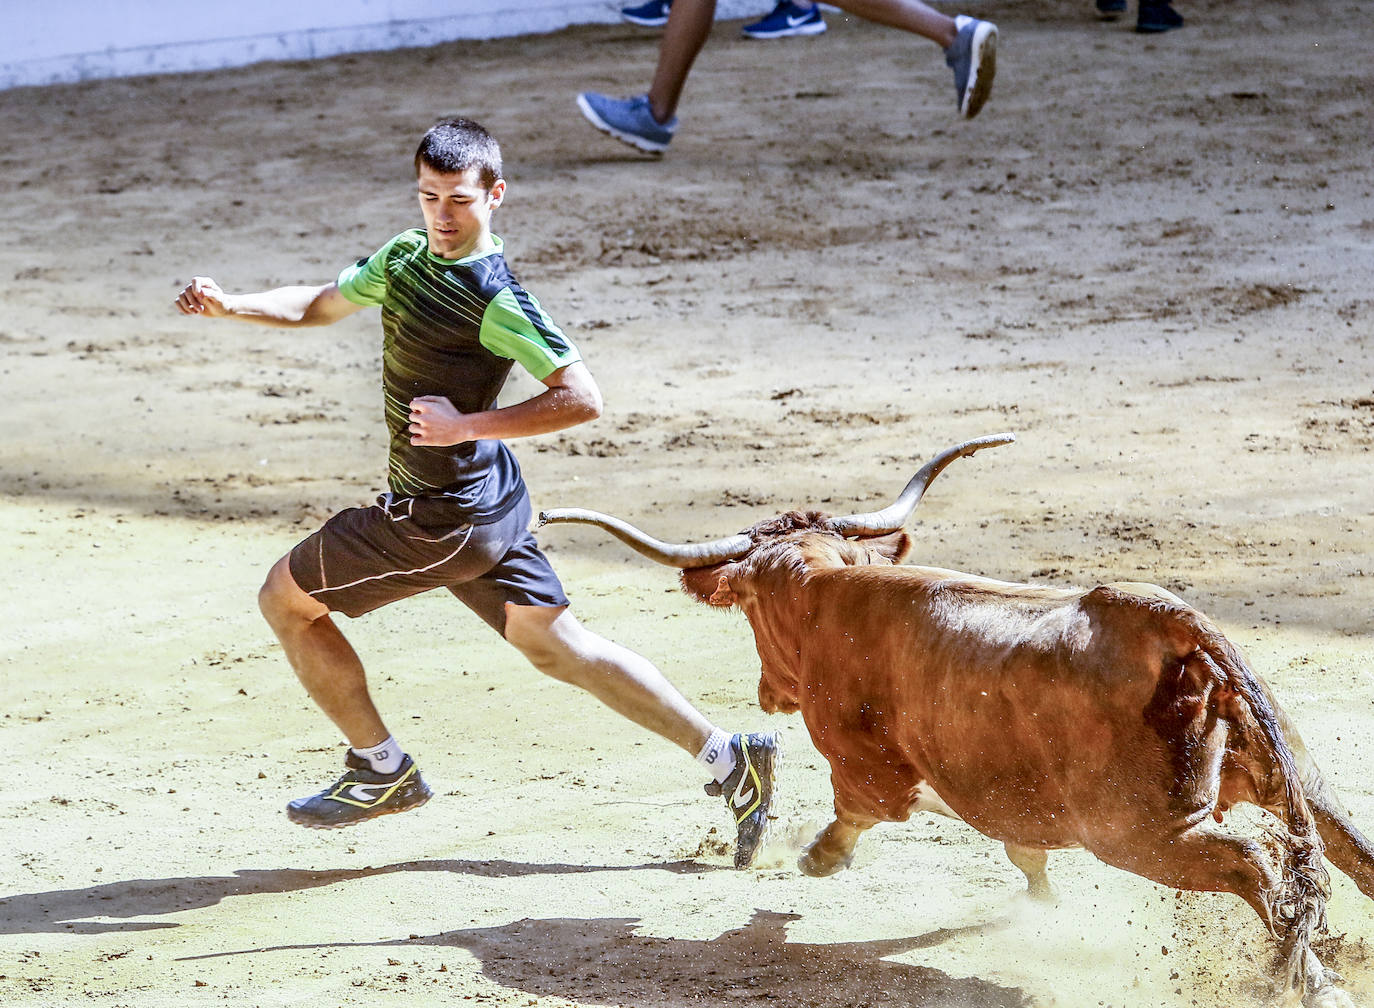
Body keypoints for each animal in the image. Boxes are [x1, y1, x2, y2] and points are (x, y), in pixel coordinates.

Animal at [541, 436, 1368, 1008]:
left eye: (747, 610)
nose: (768, 691)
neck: (830, 593)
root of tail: (1170, 623)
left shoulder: (874, 775)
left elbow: (861, 815)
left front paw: (814, 859)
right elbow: (1013, 840)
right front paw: (1037, 892)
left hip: (1141, 834)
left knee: (1254, 867)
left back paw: (1307, 981)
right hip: (1296, 781)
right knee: (1346, 849)